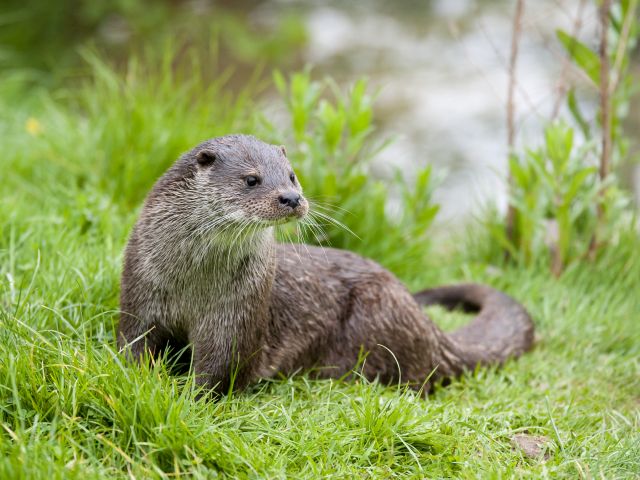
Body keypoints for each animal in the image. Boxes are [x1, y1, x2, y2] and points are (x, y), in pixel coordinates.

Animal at [118, 134, 534, 394]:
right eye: (251, 179)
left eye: (292, 175)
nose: (291, 198)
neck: (192, 283)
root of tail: (430, 330)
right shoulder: (141, 292)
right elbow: (133, 344)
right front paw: (138, 380)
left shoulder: (236, 315)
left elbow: (220, 370)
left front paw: (188, 398)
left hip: (378, 313)